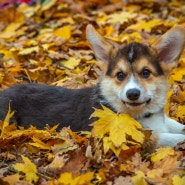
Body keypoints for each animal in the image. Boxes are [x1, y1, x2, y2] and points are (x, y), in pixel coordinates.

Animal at [0, 24, 185, 147]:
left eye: (146, 72)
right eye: (120, 75)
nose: (132, 94)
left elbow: (176, 126)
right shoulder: (135, 138)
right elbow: (168, 137)